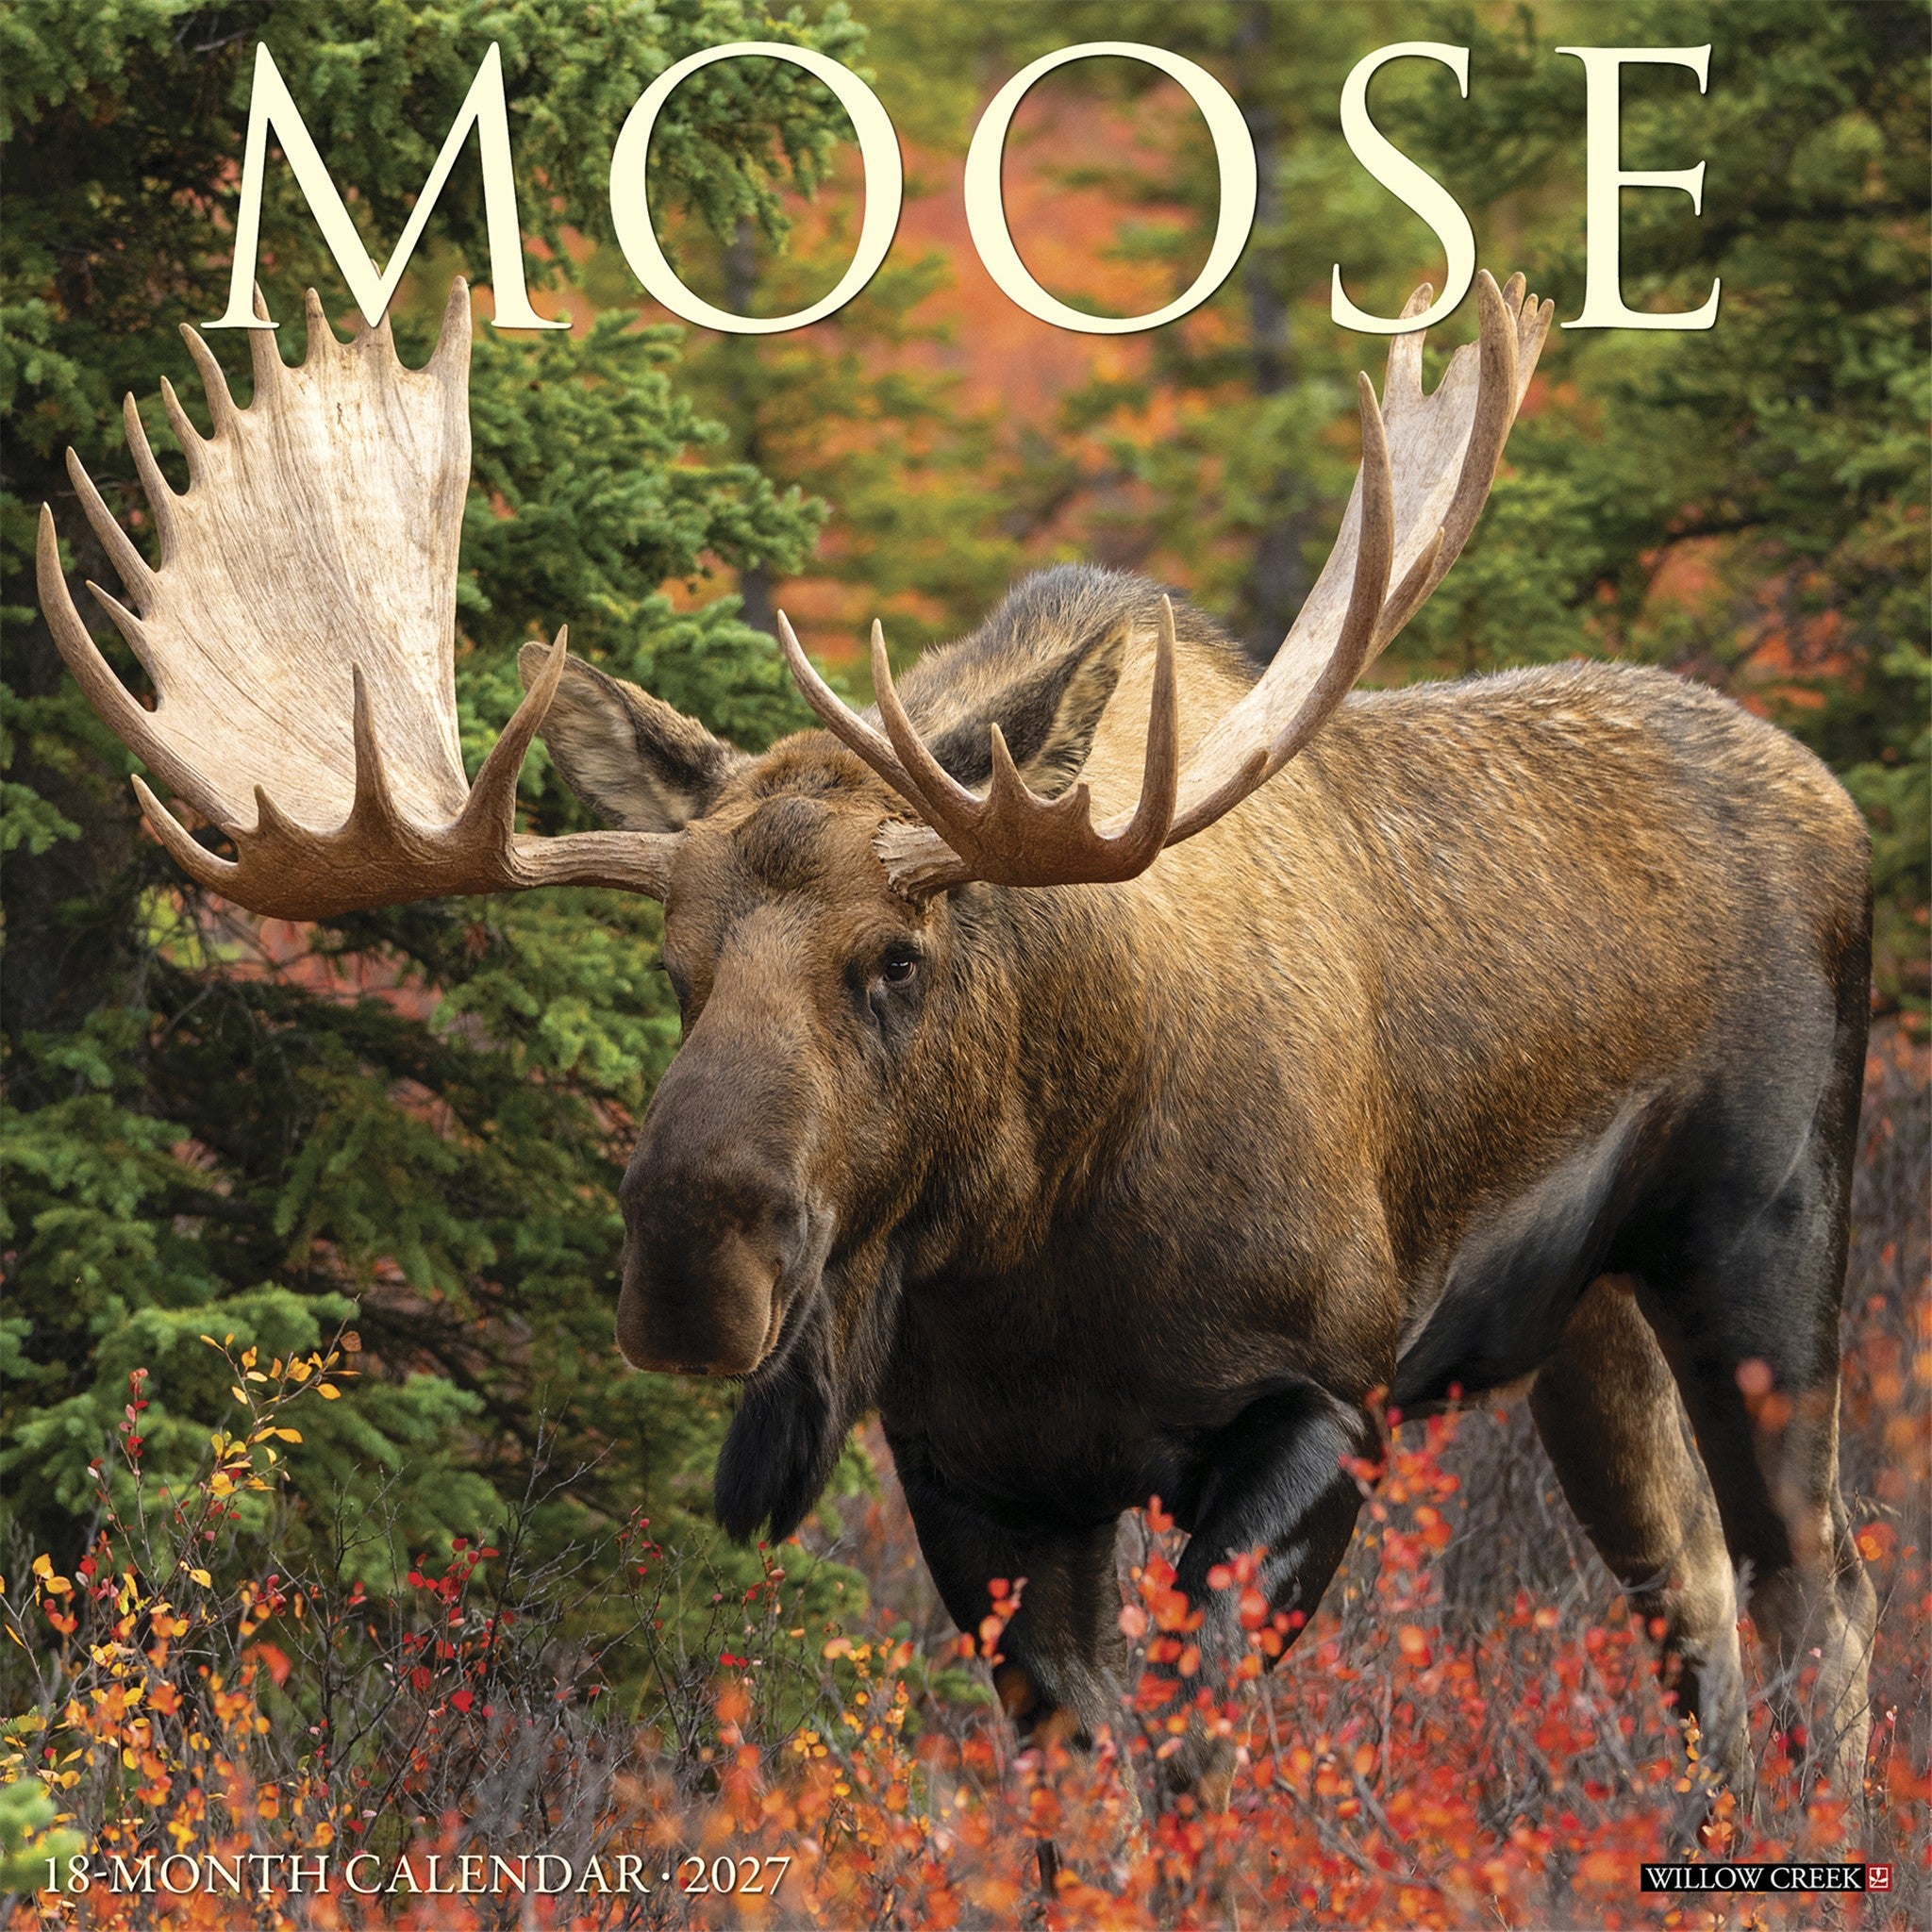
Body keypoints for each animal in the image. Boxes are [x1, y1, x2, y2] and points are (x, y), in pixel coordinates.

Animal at [40, 271, 1877, 1817]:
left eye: (898, 959)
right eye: (674, 965)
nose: (694, 1261)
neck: (1033, 1237)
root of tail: (1836, 800)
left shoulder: (1319, 1397)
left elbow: (1191, 1766)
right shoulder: (979, 1476)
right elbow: (1074, 1794)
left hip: (1765, 1249)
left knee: (1822, 1586)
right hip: (1586, 1322)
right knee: (1690, 1589)